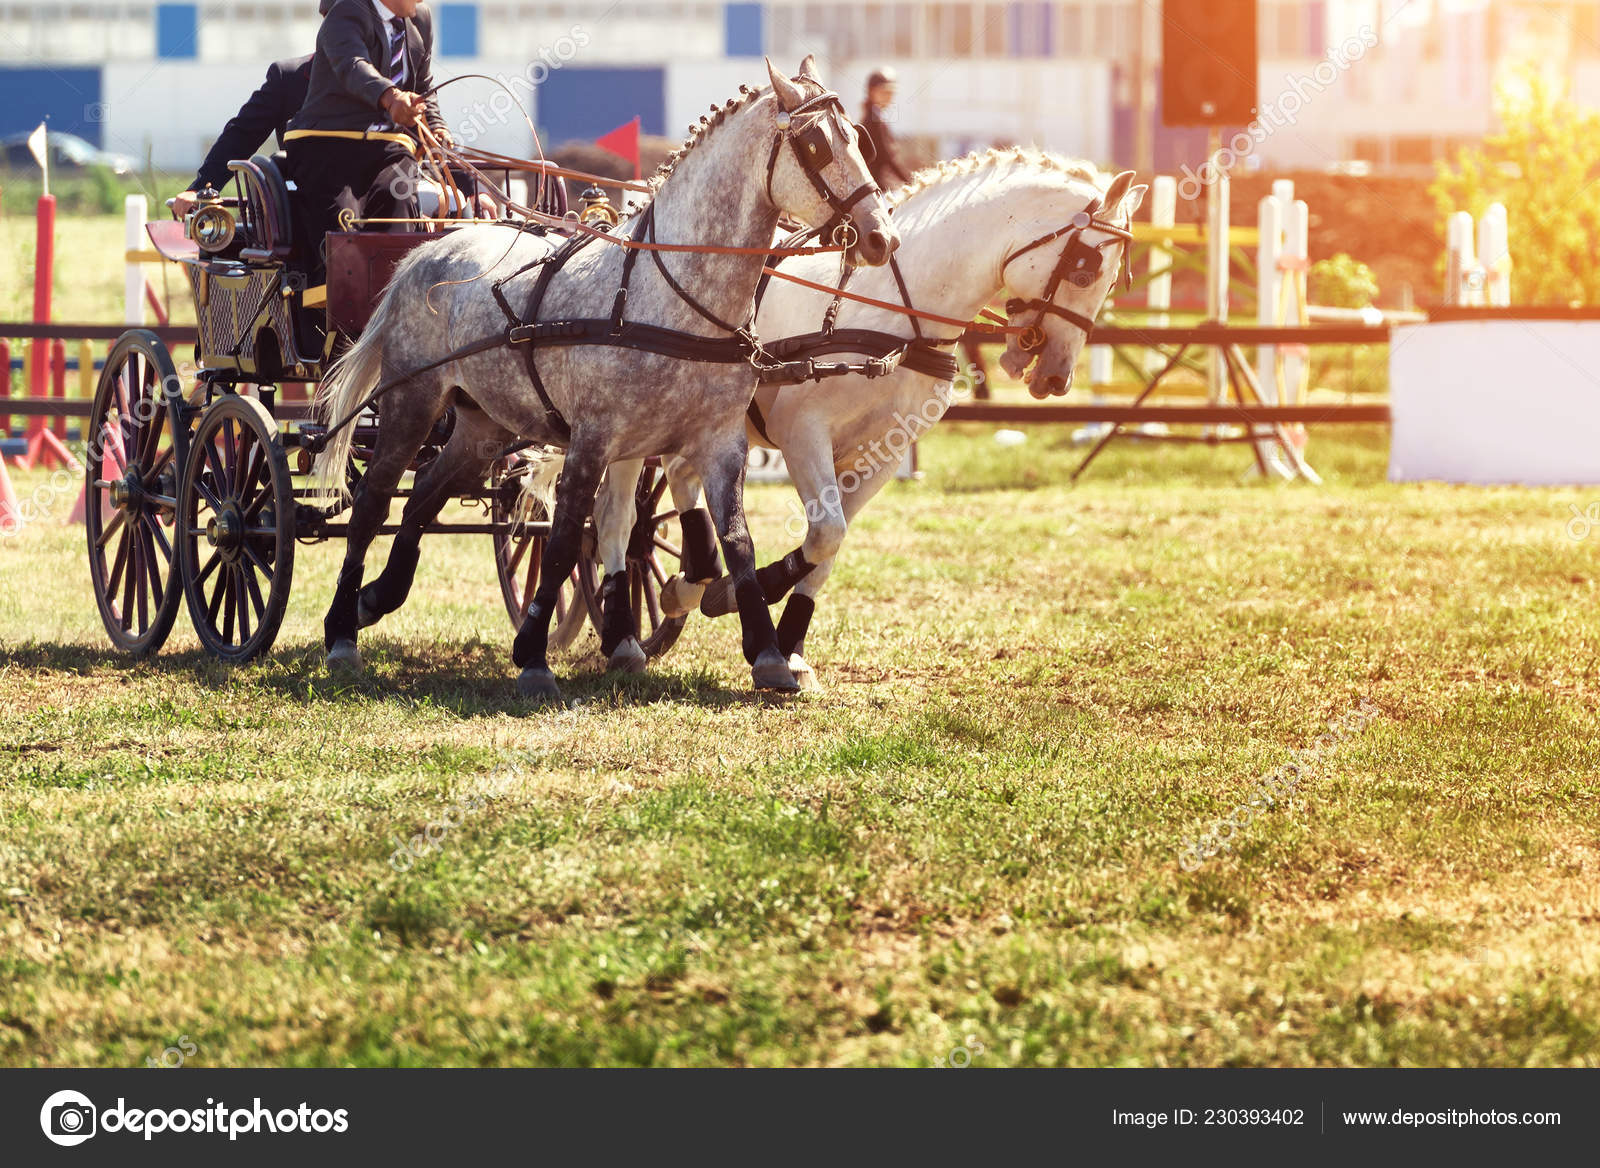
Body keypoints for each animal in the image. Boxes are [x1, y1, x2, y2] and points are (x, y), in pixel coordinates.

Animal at [595, 151, 1145, 688]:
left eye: (1111, 281)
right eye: (1086, 269)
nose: (1056, 378)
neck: (895, 310)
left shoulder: (883, 456)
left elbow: (829, 548)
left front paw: (788, 648)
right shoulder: (802, 433)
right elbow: (825, 533)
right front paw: (739, 597)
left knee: (678, 475)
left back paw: (690, 583)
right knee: (618, 519)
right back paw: (627, 634)